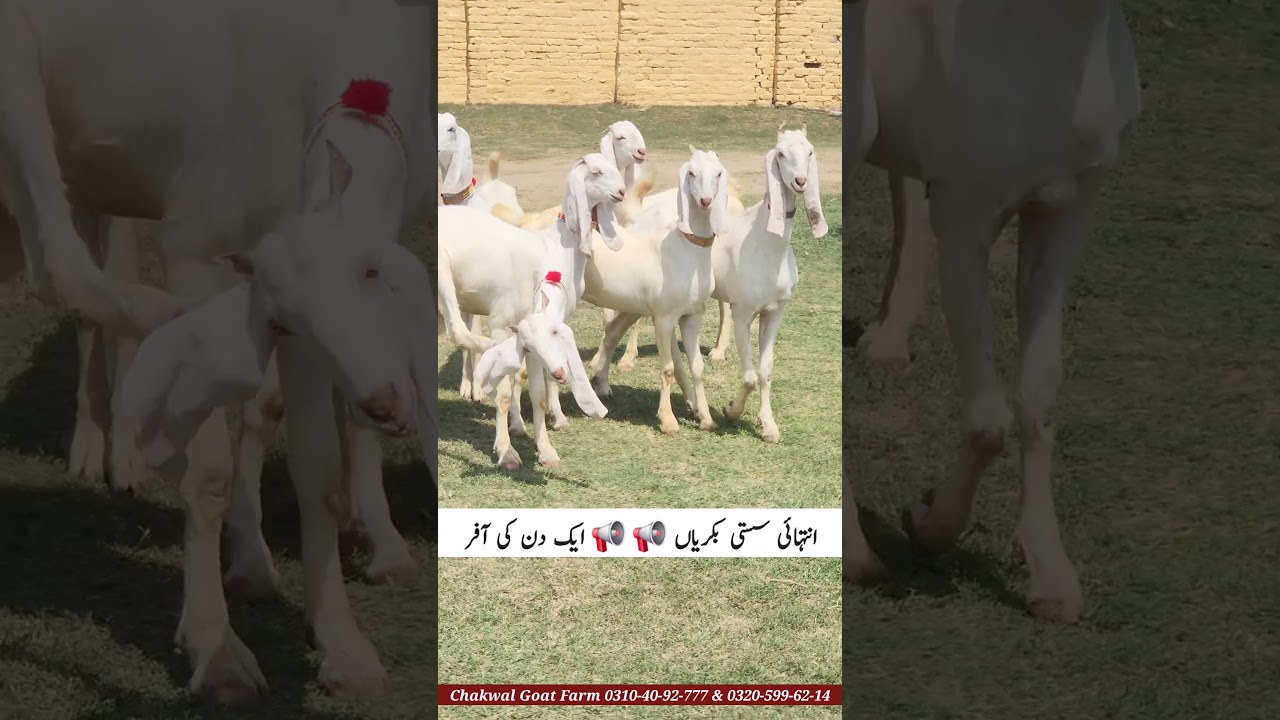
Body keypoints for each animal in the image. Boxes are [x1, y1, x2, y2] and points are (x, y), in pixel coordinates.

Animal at [439, 153, 626, 469]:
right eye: (597, 172)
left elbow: (538, 393)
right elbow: (504, 392)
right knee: (458, 331)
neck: (557, 247)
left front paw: (546, 449)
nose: (622, 192)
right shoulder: (503, 323)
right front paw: (506, 451)